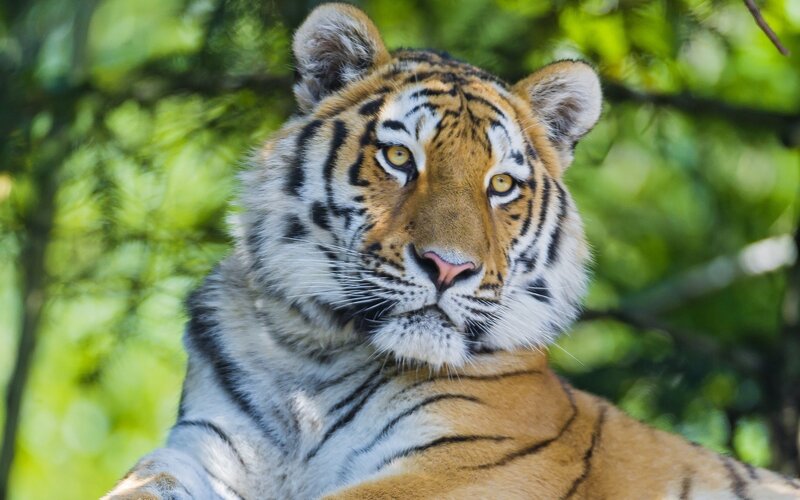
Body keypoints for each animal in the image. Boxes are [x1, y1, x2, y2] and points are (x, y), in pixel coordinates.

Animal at [105, 3, 800, 499]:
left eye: (501, 185)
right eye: (398, 156)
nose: (449, 268)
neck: (313, 356)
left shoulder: (468, 465)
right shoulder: (197, 452)